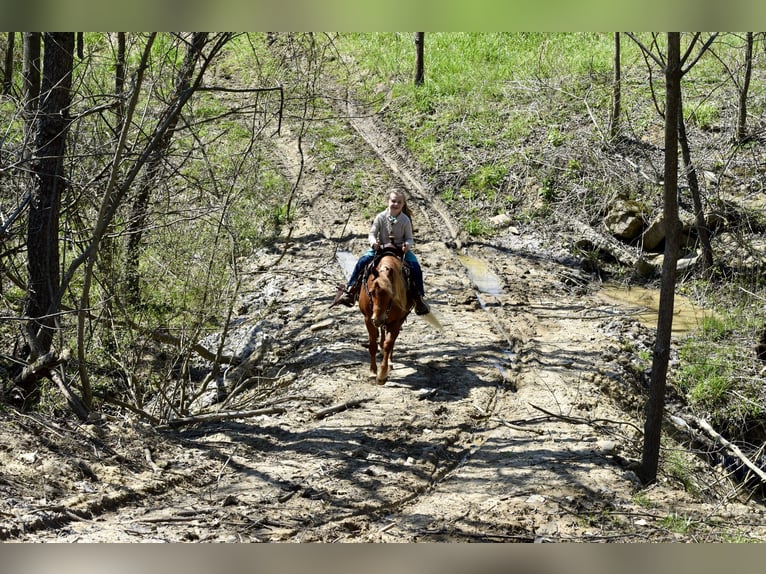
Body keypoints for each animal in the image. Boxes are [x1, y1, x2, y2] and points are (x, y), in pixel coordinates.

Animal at [358, 245, 414, 385]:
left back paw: (390, 362)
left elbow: (389, 344)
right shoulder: (368, 319)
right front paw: (373, 372)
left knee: (390, 341)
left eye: (391, 294)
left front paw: (382, 374)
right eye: (371, 292)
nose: (377, 319)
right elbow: (372, 345)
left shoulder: (397, 321)